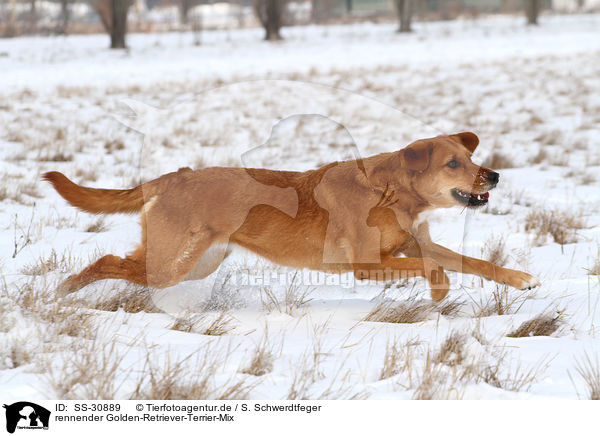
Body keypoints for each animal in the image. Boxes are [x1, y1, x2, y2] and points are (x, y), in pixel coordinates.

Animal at [42, 131, 540, 302]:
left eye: (470, 158)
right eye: (453, 164)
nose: (494, 175)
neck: (391, 194)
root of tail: (170, 178)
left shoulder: (418, 243)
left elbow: (476, 262)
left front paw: (519, 278)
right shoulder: (366, 265)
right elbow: (432, 268)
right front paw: (438, 291)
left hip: (197, 263)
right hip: (170, 265)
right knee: (108, 261)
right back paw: (63, 293)